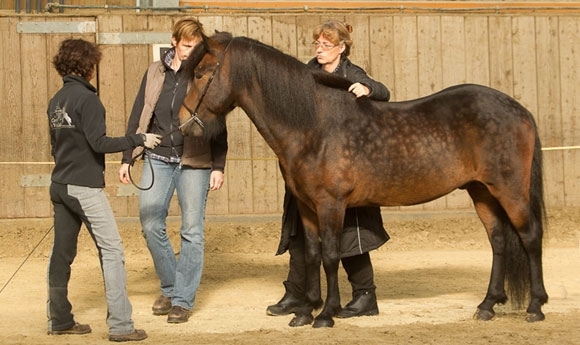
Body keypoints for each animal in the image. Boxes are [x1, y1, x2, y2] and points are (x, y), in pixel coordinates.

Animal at [178, 32, 548, 328]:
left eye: (199, 73)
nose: (183, 122)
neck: (314, 125)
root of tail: (520, 110)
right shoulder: (308, 207)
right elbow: (311, 254)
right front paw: (304, 312)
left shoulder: (331, 205)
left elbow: (330, 255)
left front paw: (326, 314)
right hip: (481, 190)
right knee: (498, 241)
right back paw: (487, 305)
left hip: (510, 191)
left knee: (530, 237)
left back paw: (535, 306)